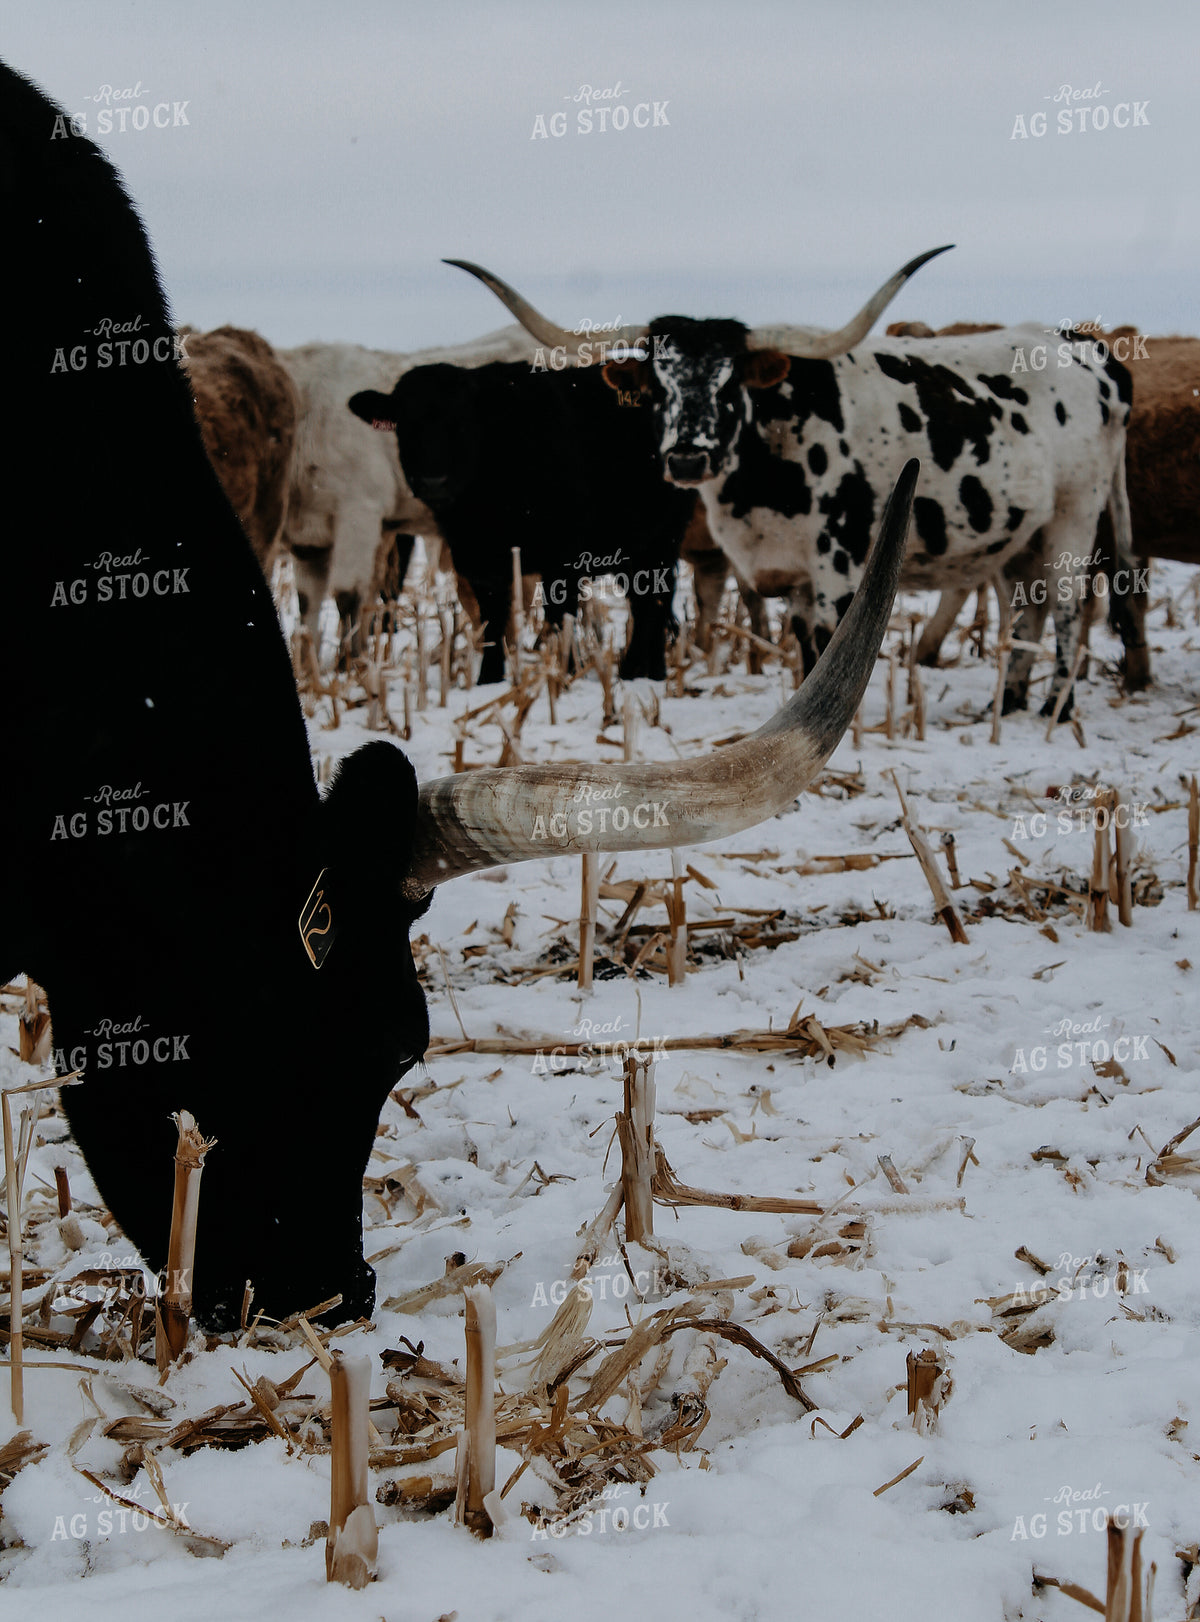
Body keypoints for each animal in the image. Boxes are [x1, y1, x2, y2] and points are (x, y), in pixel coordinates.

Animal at [346, 359, 696, 683]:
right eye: (406, 424)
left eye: (462, 422)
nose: (433, 482)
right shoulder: (478, 560)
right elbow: (492, 620)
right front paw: (489, 678)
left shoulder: (564, 555)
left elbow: (559, 615)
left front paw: (566, 673)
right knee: (649, 600)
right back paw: (652, 671)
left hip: (663, 537)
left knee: (653, 602)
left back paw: (633, 671)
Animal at [446, 258, 1135, 719]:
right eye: (659, 384)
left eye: (730, 383)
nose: (688, 458)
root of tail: (1086, 348)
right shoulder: (794, 577)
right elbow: (806, 648)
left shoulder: (839, 564)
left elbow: (832, 642)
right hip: (1023, 534)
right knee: (1028, 606)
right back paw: (1011, 701)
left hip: (1074, 516)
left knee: (1068, 606)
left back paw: (1054, 708)